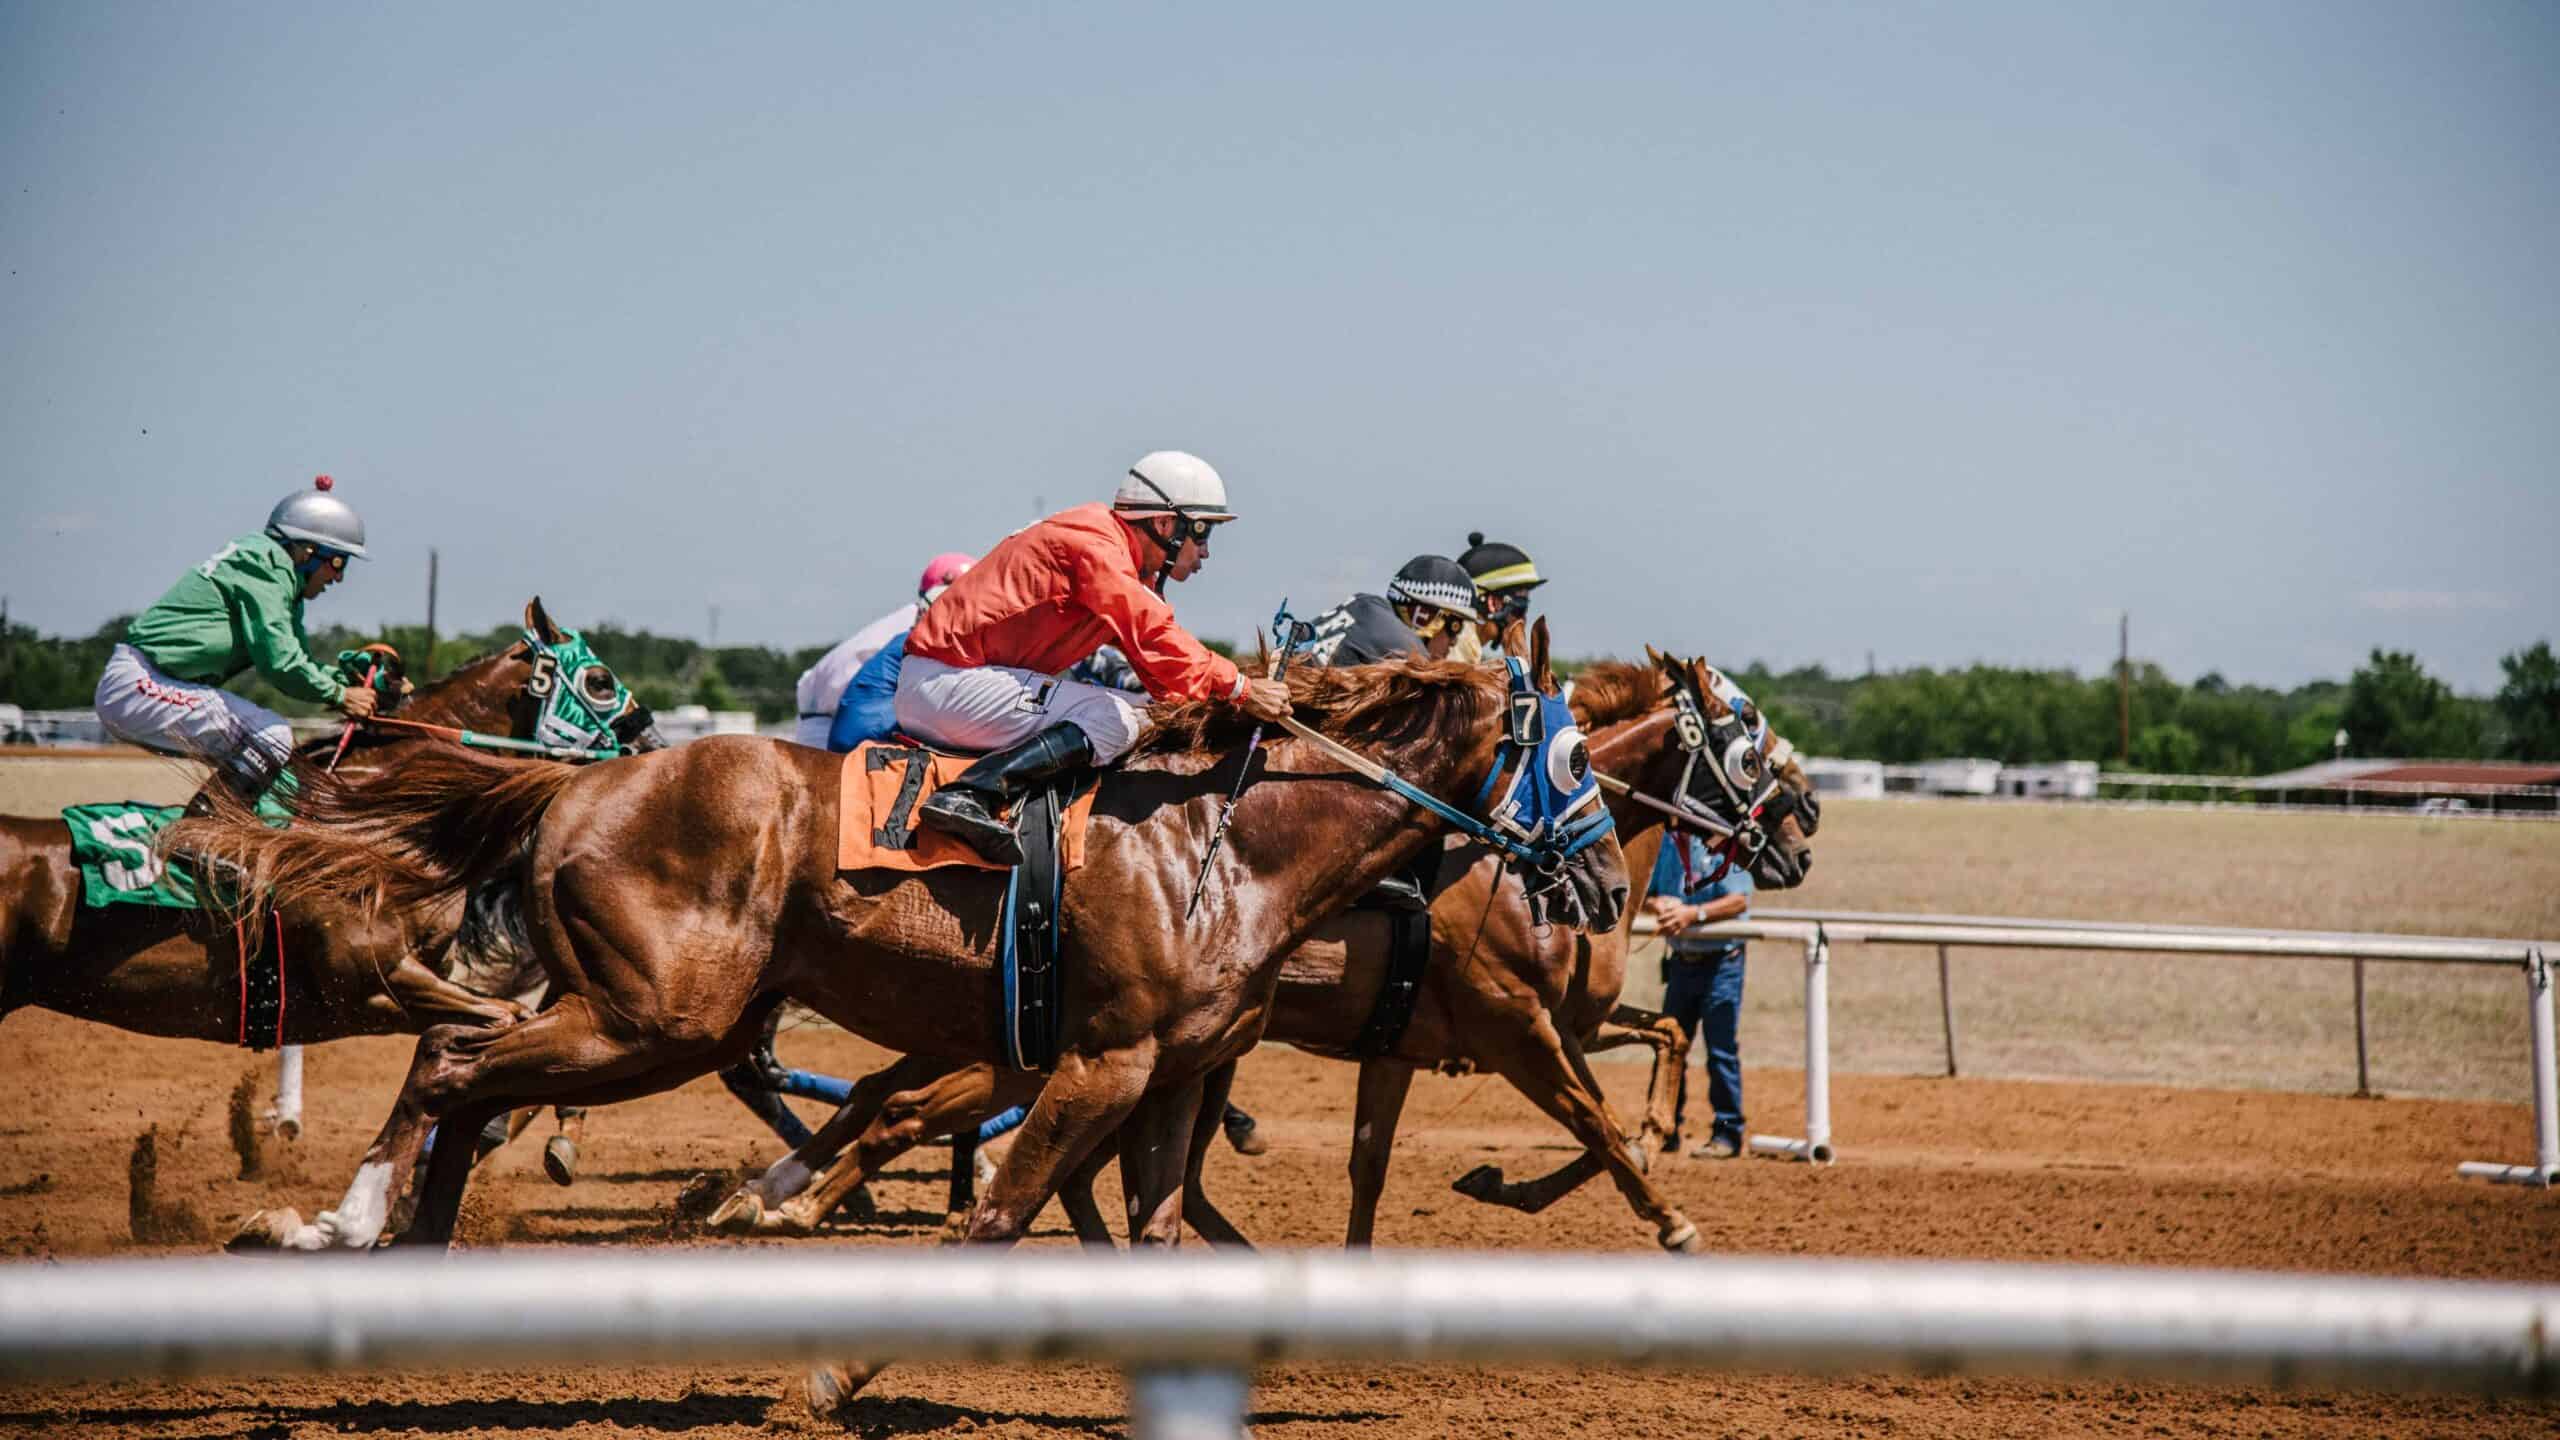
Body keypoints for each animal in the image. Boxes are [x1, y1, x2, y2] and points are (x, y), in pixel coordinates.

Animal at [176, 621, 1629, 1274]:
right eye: (1574, 761)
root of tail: (577, 783)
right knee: (456, 1066)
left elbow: (1151, 1227)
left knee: (468, 1074)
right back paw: (355, 1222)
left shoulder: (1169, 1075)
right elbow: (992, 1211)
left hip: (648, 1015)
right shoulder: (1098, 1062)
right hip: (659, 1018)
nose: (1614, 888)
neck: (1227, 843)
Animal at [705, 649, 1817, 1253]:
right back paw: (788, 1202)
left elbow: (1647, 1047)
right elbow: (1598, 1125)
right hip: (1030, 1045)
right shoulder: (1512, 1023)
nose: (1803, 833)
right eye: (1750, 742)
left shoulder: (1426, 1041)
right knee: (908, 1112)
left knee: (905, 1106)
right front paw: (1663, 1215)